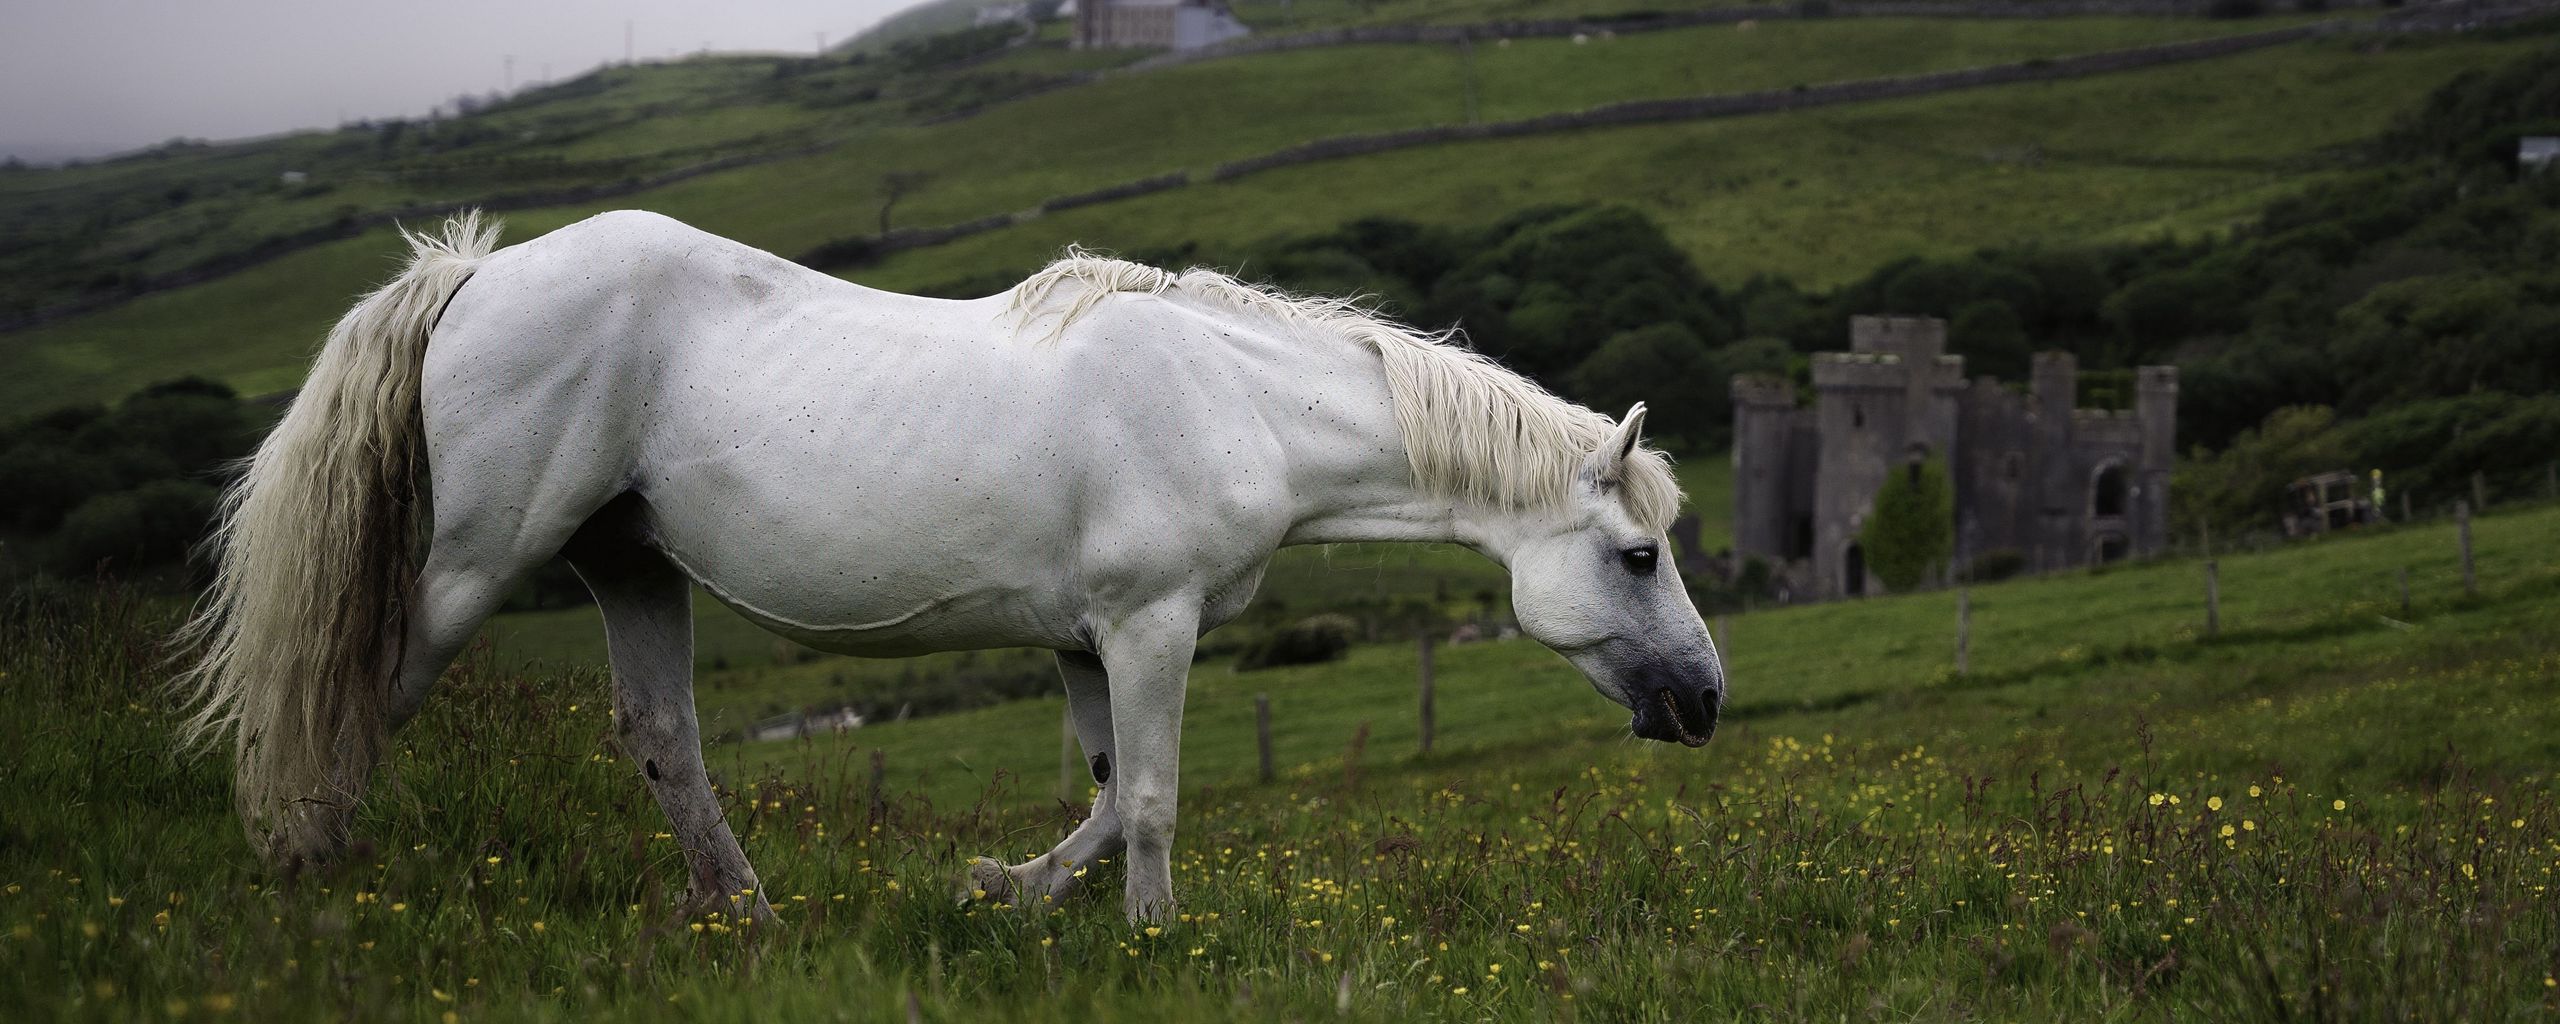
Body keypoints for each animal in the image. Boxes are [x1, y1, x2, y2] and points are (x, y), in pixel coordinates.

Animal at [175, 209, 1727, 924]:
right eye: (1640, 552)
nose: (1705, 702)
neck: (1234, 398)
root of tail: (475, 276)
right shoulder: (1150, 626)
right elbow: (1151, 801)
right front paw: (1155, 937)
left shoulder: (1086, 639)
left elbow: (1100, 800)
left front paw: (999, 888)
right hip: (472, 570)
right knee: (352, 699)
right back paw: (310, 875)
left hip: (629, 568)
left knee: (663, 737)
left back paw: (747, 912)